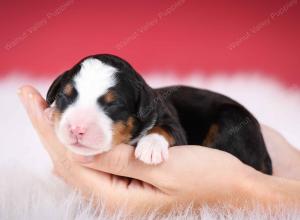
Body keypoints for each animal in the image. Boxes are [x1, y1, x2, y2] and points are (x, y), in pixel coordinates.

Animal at [46, 53, 272, 174]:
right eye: (65, 96)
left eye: (113, 104)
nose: (77, 129)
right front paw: (50, 113)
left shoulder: (171, 120)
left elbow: (164, 128)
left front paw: (151, 146)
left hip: (232, 119)